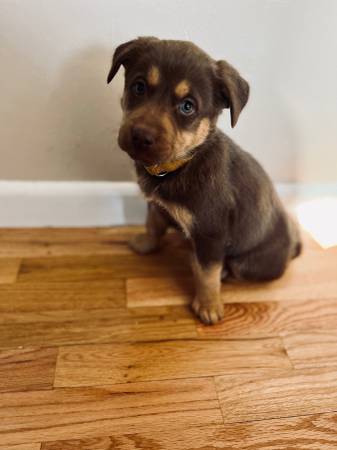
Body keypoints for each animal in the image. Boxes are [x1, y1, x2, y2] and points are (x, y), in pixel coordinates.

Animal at [107, 35, 302, 324]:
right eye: (138, 87)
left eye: (187, 107)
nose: (141, 137)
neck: (180, 165)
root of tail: (293, 247)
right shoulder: (156, 205)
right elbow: (153, 225)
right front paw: (146, 244)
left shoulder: (211, 232)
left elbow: (208, 273)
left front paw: (208, 305)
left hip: (246, 262)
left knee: (231, 268)